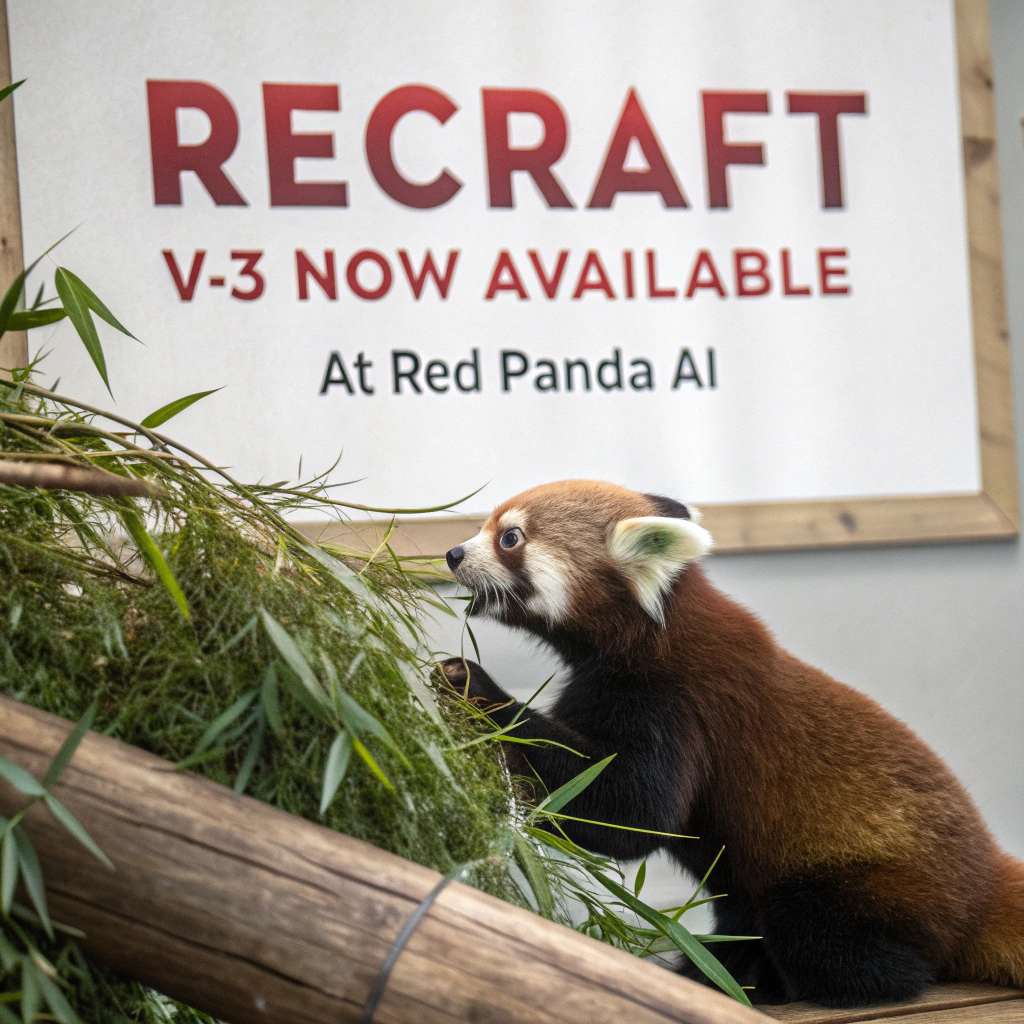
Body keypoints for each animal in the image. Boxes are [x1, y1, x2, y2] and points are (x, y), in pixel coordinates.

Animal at [439, 479, 1024, 1007]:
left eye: (509, 537)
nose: (451, 553)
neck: (647, 637)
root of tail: (984, 884)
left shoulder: (676, 707)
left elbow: (631, 814)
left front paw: (479, 690)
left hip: (871, 884)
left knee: (824, 931)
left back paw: (807, 986)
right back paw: (720, 968)